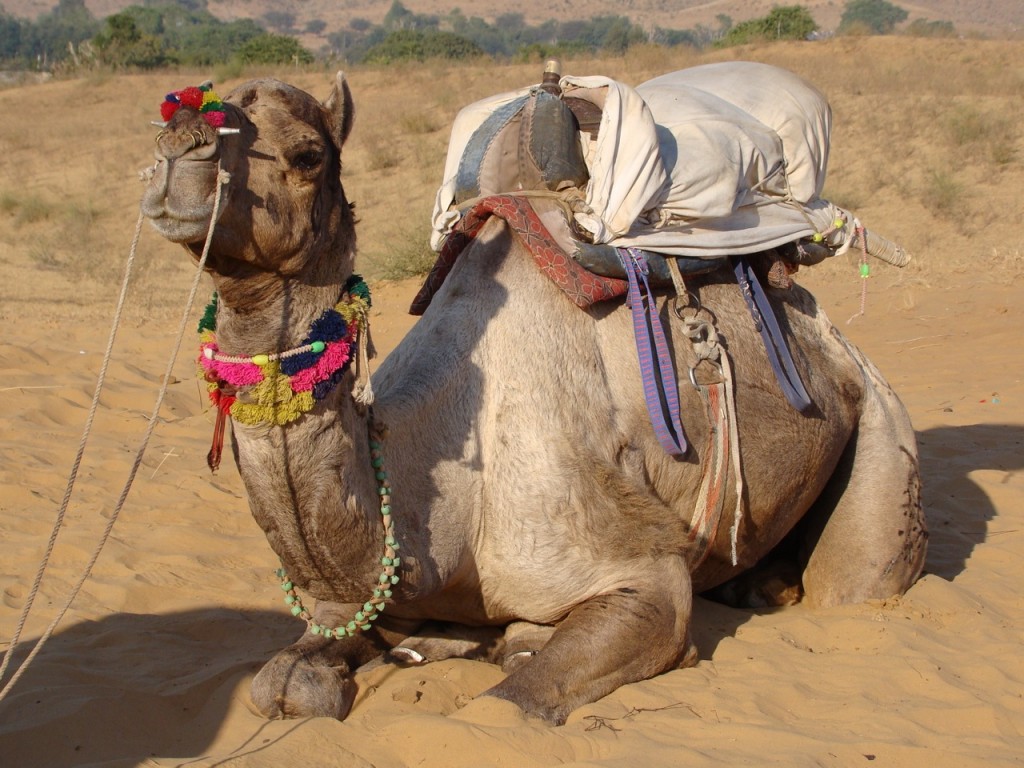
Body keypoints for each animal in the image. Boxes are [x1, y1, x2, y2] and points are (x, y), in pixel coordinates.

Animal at [141, 72, 926, 725]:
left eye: (307, 155)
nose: (179, 148)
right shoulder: (350, 600)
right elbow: (282, 682)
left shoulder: (638, 570)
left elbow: (507, 706)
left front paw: (505, 649)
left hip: (882, 426)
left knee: (858, 579)